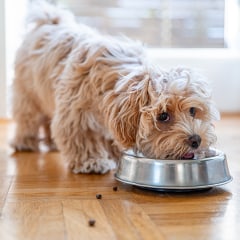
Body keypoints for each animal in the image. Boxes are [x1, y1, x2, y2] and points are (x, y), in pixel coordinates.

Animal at [10, 0, 219, 173]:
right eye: (163, 116)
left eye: (192, 110)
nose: (196, 139)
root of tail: (49, 21)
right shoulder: (75, 113)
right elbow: (81, 136)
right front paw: (92, 161)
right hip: (27, 92)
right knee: (28, 117)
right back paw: (25, 141)